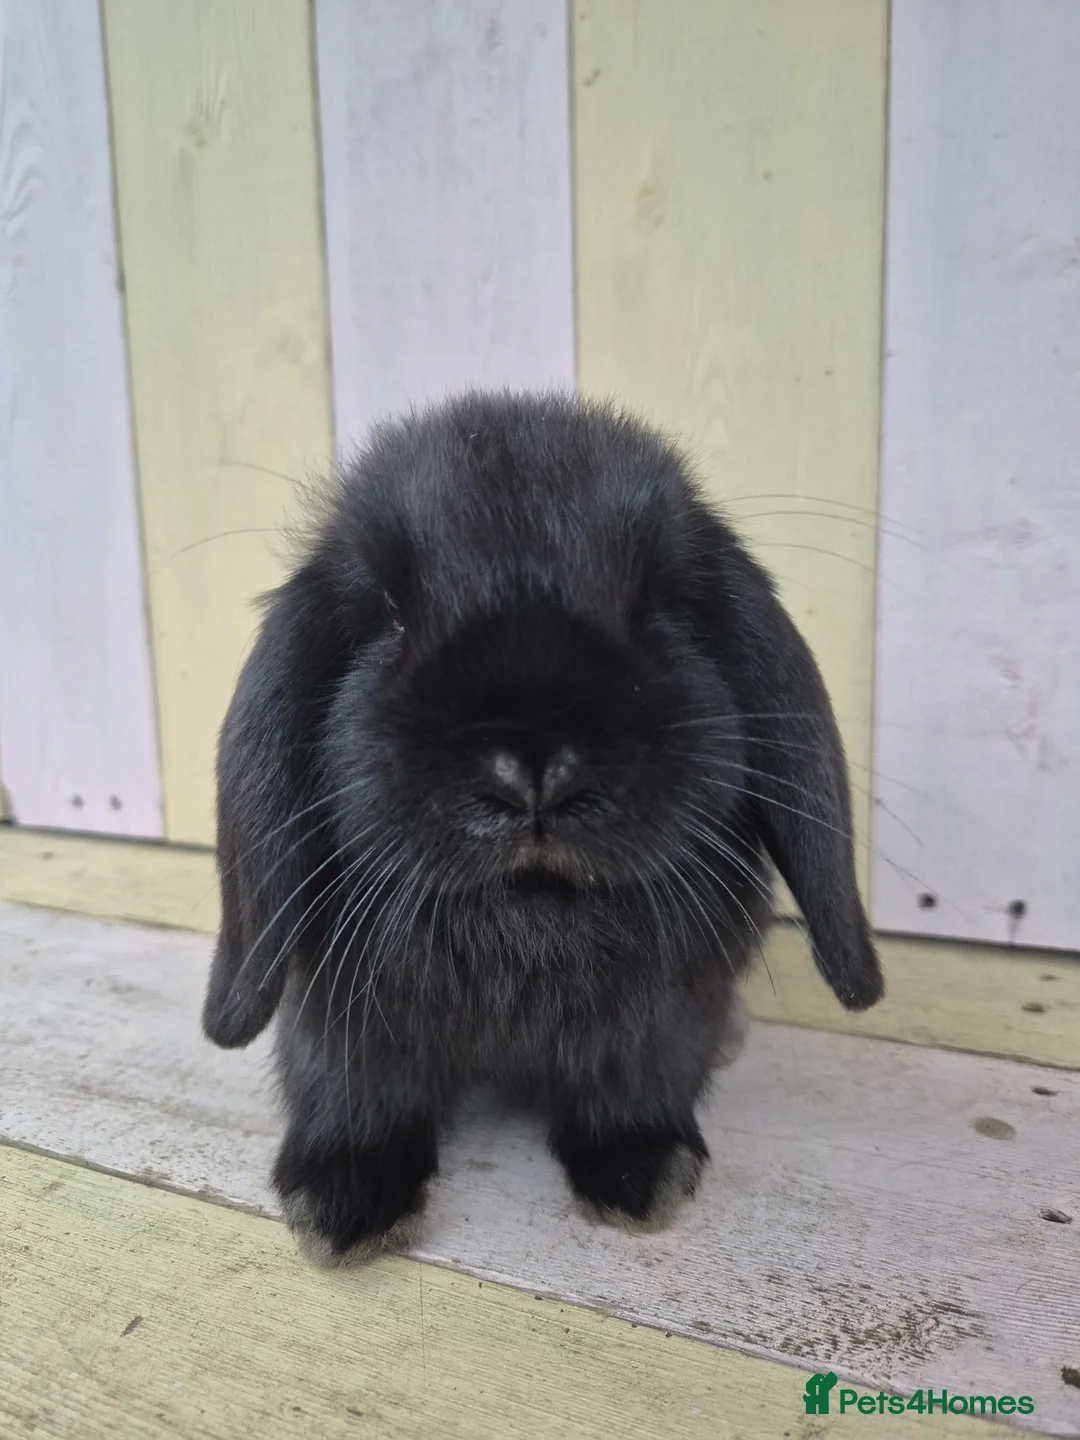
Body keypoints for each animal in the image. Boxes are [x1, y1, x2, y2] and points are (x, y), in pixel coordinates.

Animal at [202, 389, 883, 1265]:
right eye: (387, 616)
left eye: (659, 605)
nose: (531, 769)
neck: (526, 933)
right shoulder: (334, 1019)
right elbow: (352, 1091)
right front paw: (343, 1202)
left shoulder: (665, 1022)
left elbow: (635, 1087)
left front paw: (642, 1175)